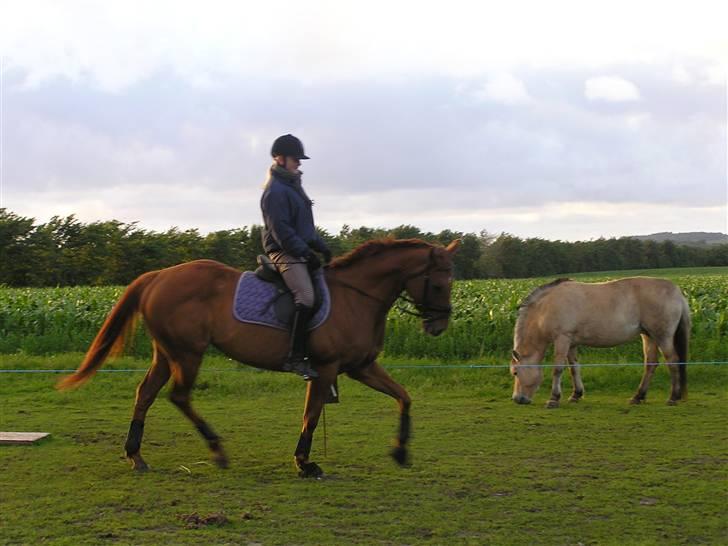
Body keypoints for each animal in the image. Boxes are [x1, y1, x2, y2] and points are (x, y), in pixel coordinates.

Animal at [57, 236, 458, 474]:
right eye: (440, 284)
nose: (439, 326)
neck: (357, 296)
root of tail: (157, 276)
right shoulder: (327, 369)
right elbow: (312, 415)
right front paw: (304, 462)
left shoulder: (361, 367)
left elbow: (404, 397)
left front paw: (401, 451)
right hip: (188, 353)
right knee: (179, 396)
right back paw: (217, 450)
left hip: (167, 353)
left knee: (146, 394)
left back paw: (136, 455)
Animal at [510, 278, 692, 406]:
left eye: (515, 373)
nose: (518, 399)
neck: (546, 307)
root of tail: (677, 292)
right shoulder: (572, 343)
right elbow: (574, 368)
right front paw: (576, 394)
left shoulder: (562, 339)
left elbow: (558, 369)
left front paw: (554, 398)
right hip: (649, 336)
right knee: (651, 364)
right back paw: (638, 396)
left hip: (662, 337)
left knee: (673, 362)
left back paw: (673, 397)